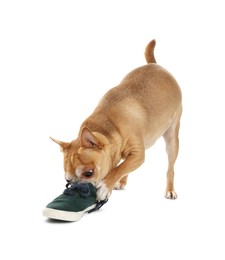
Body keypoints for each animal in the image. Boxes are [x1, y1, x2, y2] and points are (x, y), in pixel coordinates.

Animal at [51, 39, 182, 201]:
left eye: (89, 173)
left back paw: (170, 189)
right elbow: (123, 167)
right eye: (67, 180)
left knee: (170, 168)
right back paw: (122, 182)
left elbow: (119, 168)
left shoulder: (138, 154)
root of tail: (155, 64)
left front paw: (105, 186)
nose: (78, 188)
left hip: (172, 139)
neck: (108, 126)